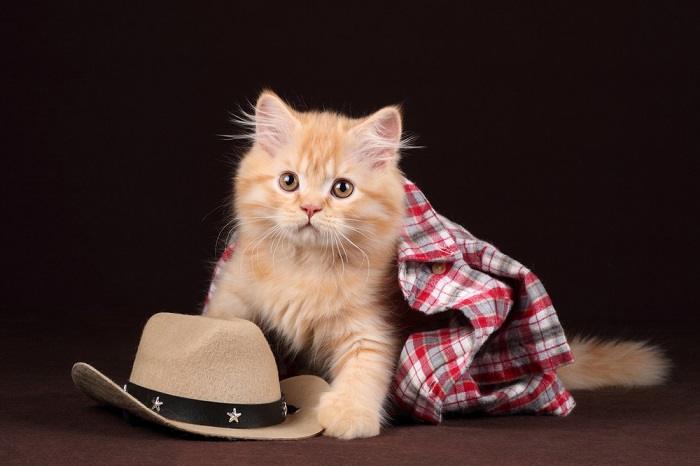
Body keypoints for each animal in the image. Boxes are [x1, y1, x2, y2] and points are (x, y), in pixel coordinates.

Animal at [202, 90, 668, 436]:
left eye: (342, 189)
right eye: (289, 181)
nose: (311, 208)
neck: (305, 268)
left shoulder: (372, 324)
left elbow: (366, 368)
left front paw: (349, 414)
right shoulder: (233, 288)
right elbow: (224, 323)